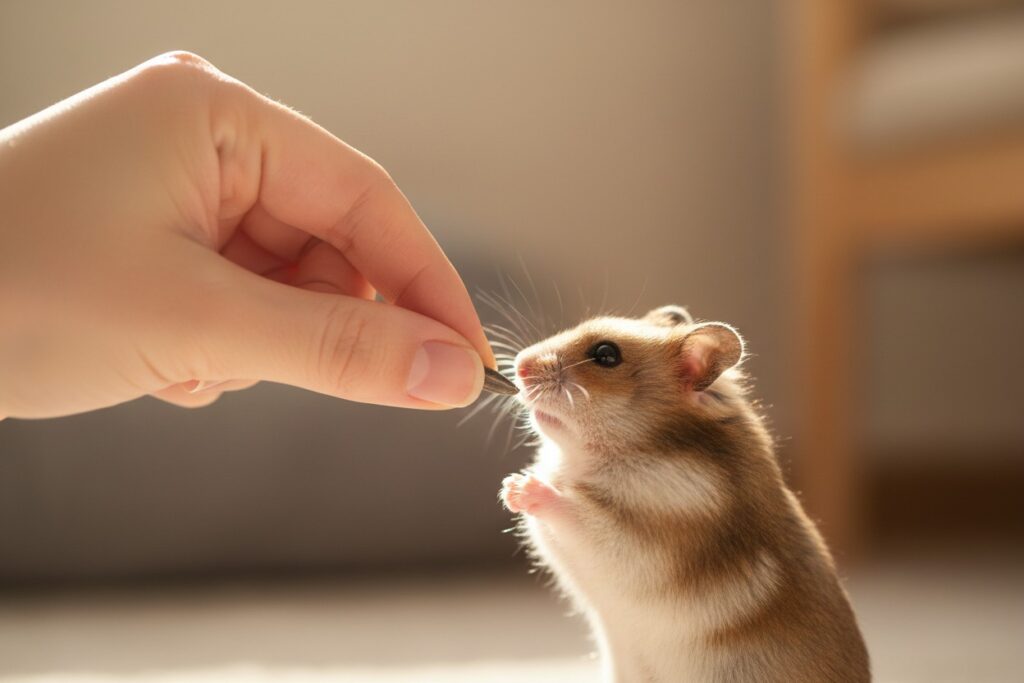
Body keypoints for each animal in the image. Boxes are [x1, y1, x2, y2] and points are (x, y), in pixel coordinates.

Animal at [499, 305, 869, 682]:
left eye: (606, 355)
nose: (519, 365)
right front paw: (511, 486)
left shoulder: (641, 545)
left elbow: (580, 514)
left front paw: (520, 485)